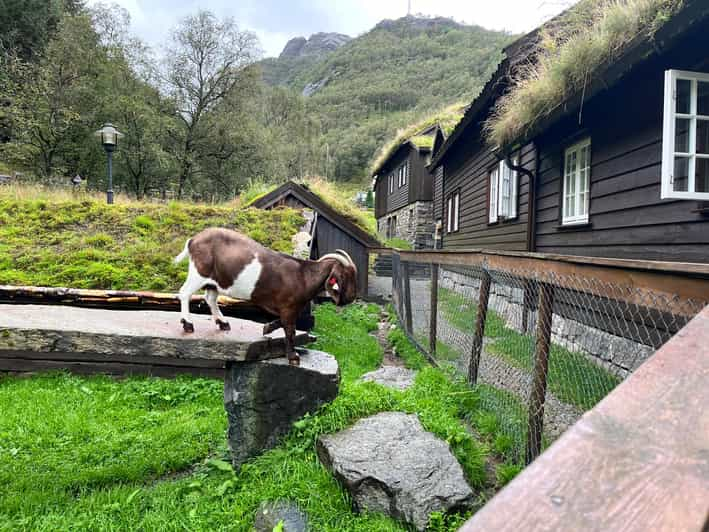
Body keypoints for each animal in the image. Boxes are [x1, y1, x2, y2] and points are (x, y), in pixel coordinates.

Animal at [174, 227, 356, 364]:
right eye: (346, 276)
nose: (351, 298)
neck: (304, 276)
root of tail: (193, 240)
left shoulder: (288, 309)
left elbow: (282, 323)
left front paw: (267, 327)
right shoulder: (289, 307)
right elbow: (290, 331)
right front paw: (293, 357)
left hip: (215, 280)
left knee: (210, 299)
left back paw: (223, 323)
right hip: (199, 272)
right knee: (185, 293)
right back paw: (187, 324)